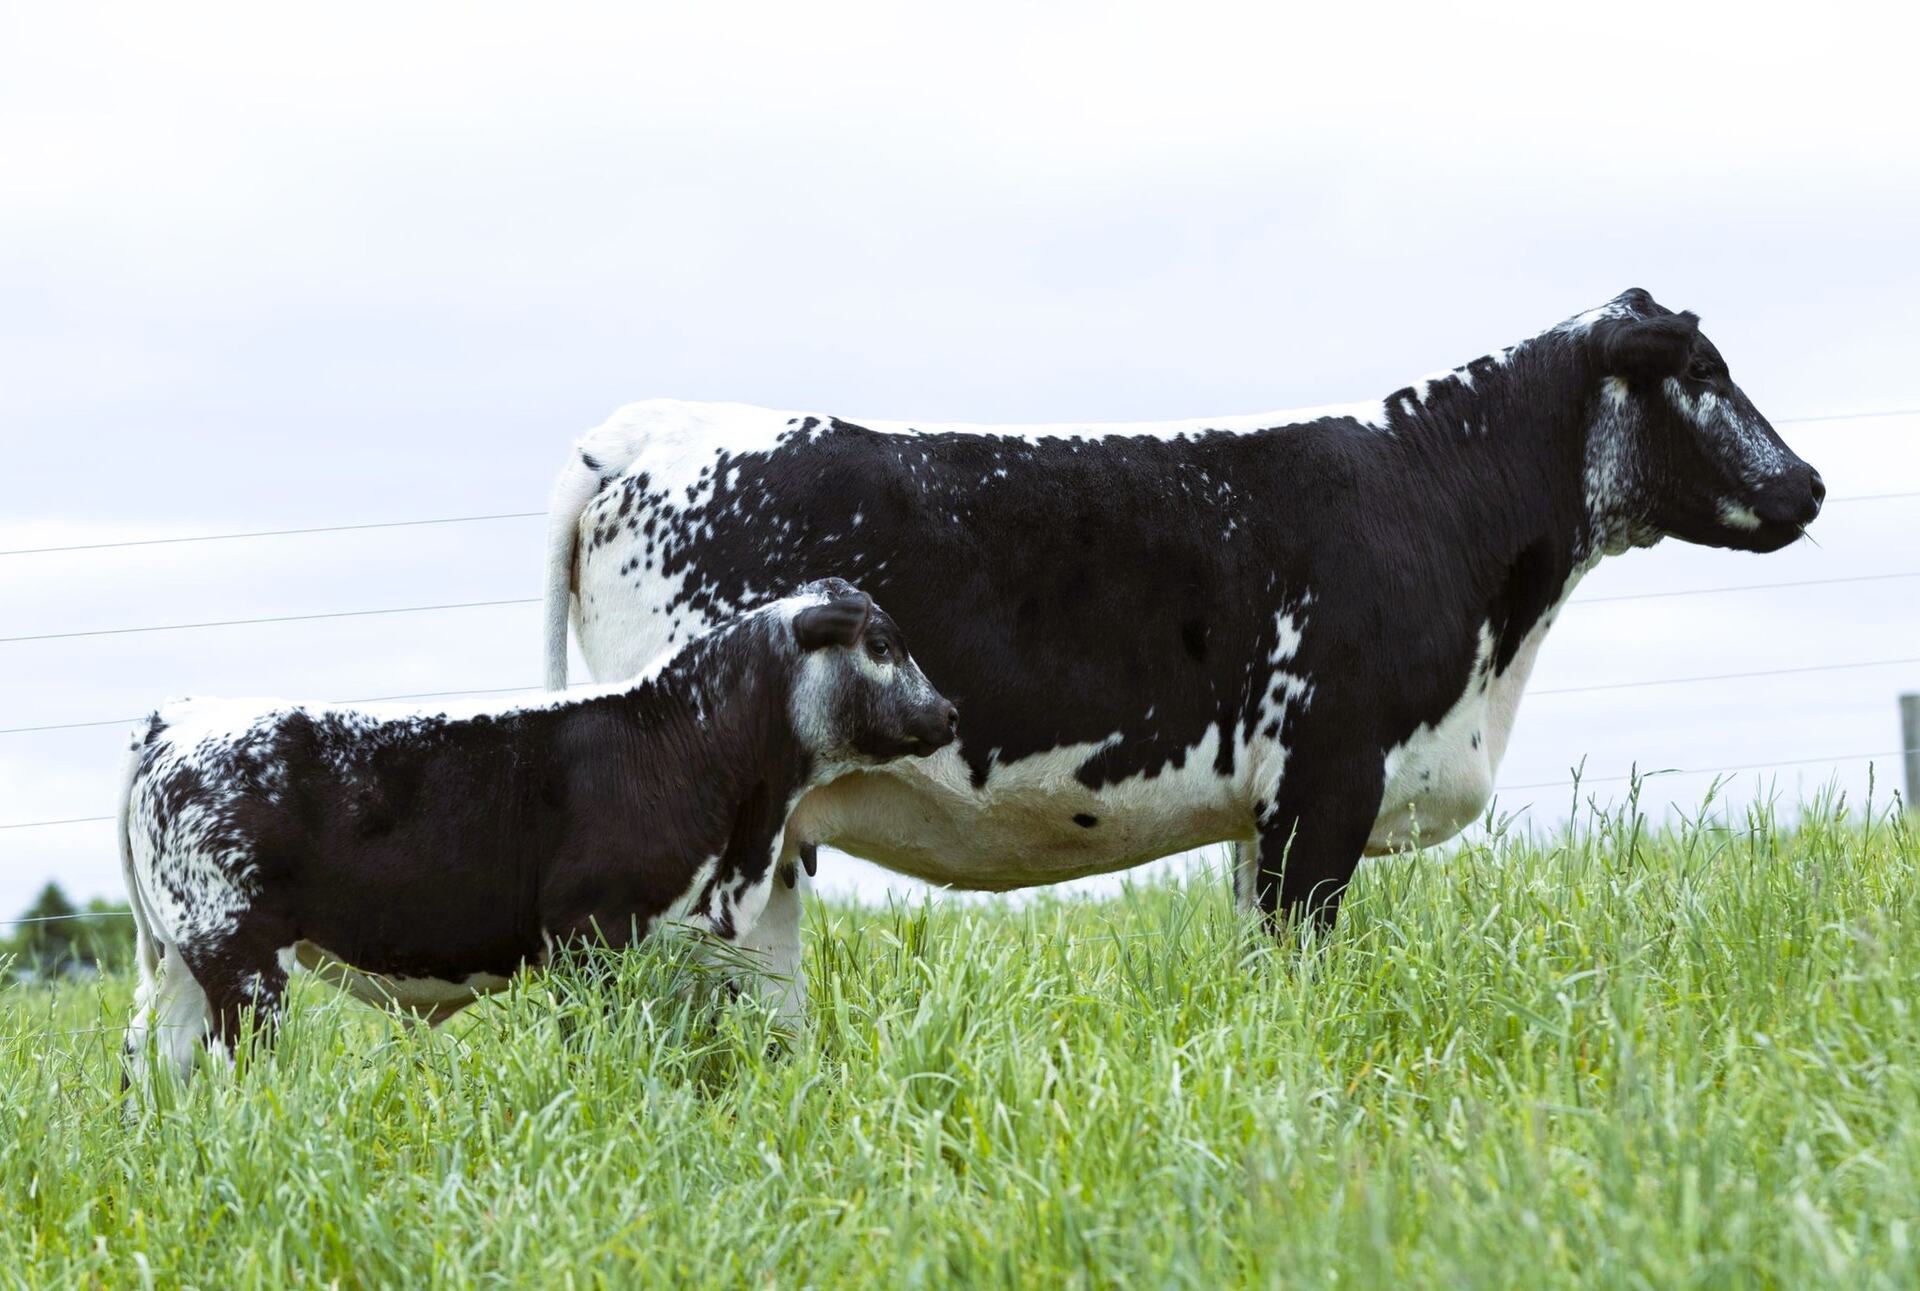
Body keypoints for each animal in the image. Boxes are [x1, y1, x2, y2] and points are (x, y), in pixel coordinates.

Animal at [119, 580, 955, 1078]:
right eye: (882, 644)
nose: (949, 712)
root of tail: (184, 716)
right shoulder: (589, 936)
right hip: (241, 957)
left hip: (183, 960)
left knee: (152, 1064)